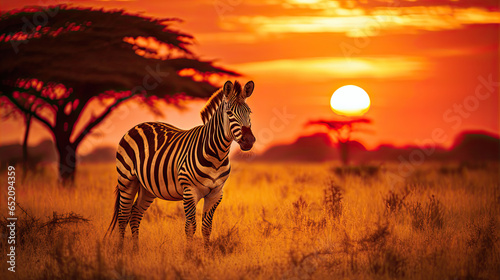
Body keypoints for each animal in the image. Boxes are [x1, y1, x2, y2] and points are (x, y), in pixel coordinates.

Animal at [104, 80, 254, 248]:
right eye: (229, 113)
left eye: (249, 113)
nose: (249, 140)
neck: (217, 155)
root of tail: (137, 125)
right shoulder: (189, 191)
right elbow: (190, 227)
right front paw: (189, 254)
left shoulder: (216, 193)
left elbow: (207, 227)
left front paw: (207, 252)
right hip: (127, 180)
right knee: (123, 216)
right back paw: (121, 251)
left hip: (147, 187)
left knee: (135, 214)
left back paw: (135, 251)